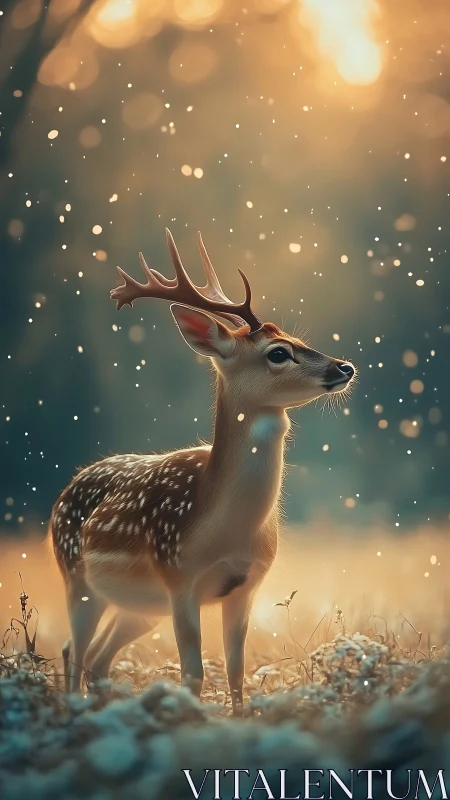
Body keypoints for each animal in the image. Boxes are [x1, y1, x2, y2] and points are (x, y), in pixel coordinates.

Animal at [50, 228, 355, 714]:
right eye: (278, 353)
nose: (343, 366)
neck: (224, 530)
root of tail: (68, 487)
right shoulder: (178, 577)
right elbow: (192, 673)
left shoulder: (247, 587)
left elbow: (235, 671)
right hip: (77, 578)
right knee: (73, 650)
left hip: (139, 607)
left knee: (97, 657)